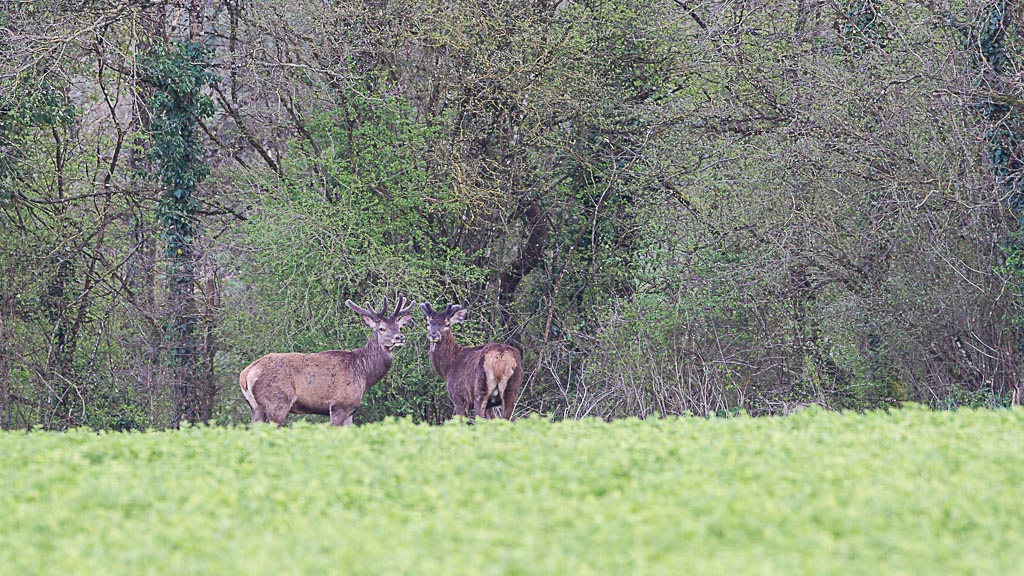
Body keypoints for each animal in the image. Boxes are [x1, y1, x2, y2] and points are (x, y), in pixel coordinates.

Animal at [239, 293, 415, 424]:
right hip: (277, 403)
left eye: (400, 327)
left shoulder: (351, 410)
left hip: (255, 407)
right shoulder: (339, 405)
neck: (364, 373)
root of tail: (246, 374)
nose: (400, 337)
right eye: (382, 328)